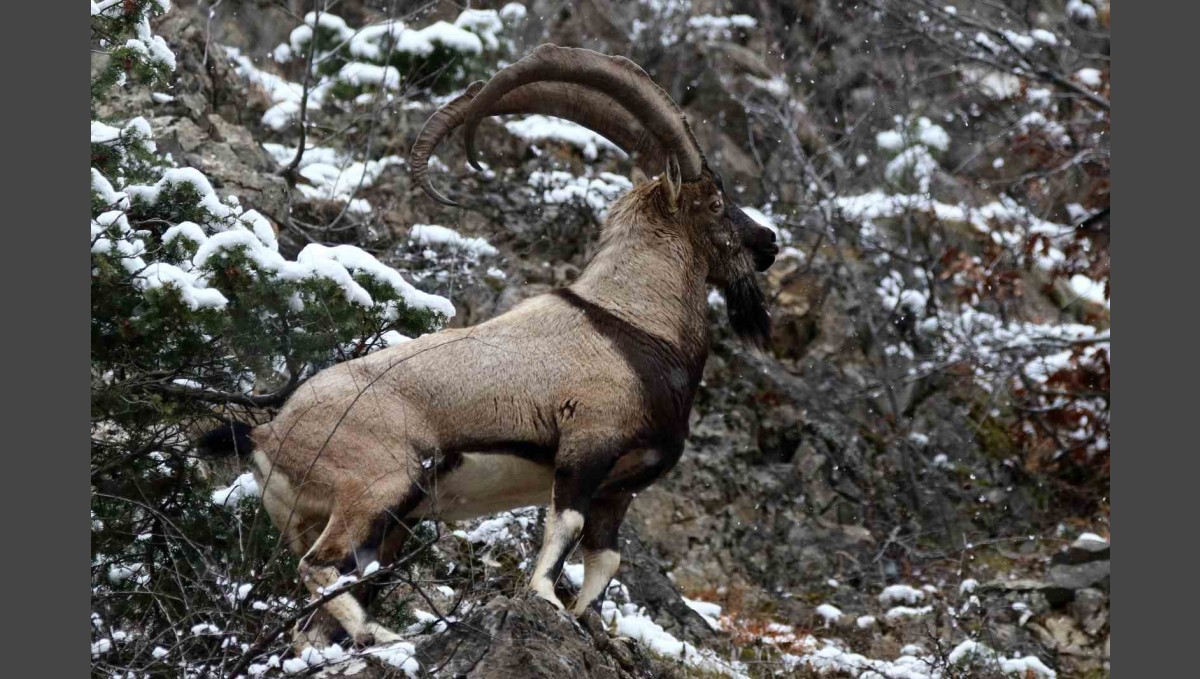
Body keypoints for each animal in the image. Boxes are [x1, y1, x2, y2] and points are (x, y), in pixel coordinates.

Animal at [199, 45, 777, 652]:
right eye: (715, 201)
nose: (769, 242)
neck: (633, 324)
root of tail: (268, 434)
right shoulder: (586, 448)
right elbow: (564, 529)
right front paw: (546, 601)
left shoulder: (617, 491)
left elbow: (606, 560)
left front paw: (596, 630)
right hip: (379, 486)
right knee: (319, 567)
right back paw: (386, 637)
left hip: (377, 522)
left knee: (315, 618)